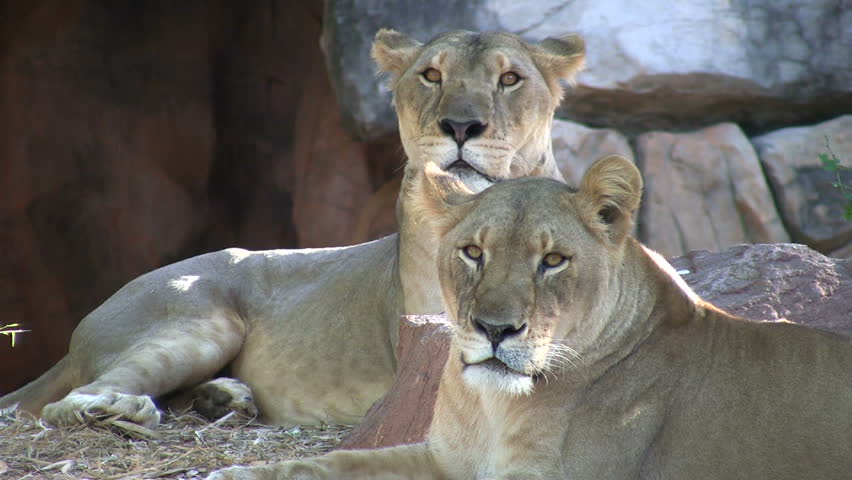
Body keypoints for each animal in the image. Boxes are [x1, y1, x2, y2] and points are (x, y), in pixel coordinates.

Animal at [0, 29, 585, 428]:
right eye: (431, 76)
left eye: (510, 79)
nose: (461, 126)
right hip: (199, 321)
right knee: (69, 401)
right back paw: (121, 407)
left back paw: (223, 398)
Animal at [208, 155, 852, 479]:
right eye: (473, 252)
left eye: (553, 261)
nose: (495, 330)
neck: (495, 407)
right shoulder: (447, 459)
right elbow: (332, 463)